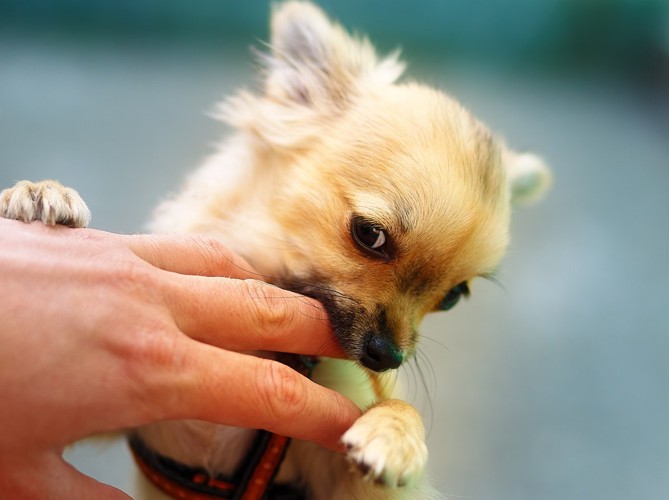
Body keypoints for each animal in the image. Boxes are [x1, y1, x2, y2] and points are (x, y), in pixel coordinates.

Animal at [1, 1, 548, 498]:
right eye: (369, 235)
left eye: (454, 296)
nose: (388, 357)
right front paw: (37, 193)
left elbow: (395, 415)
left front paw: (395, 434)